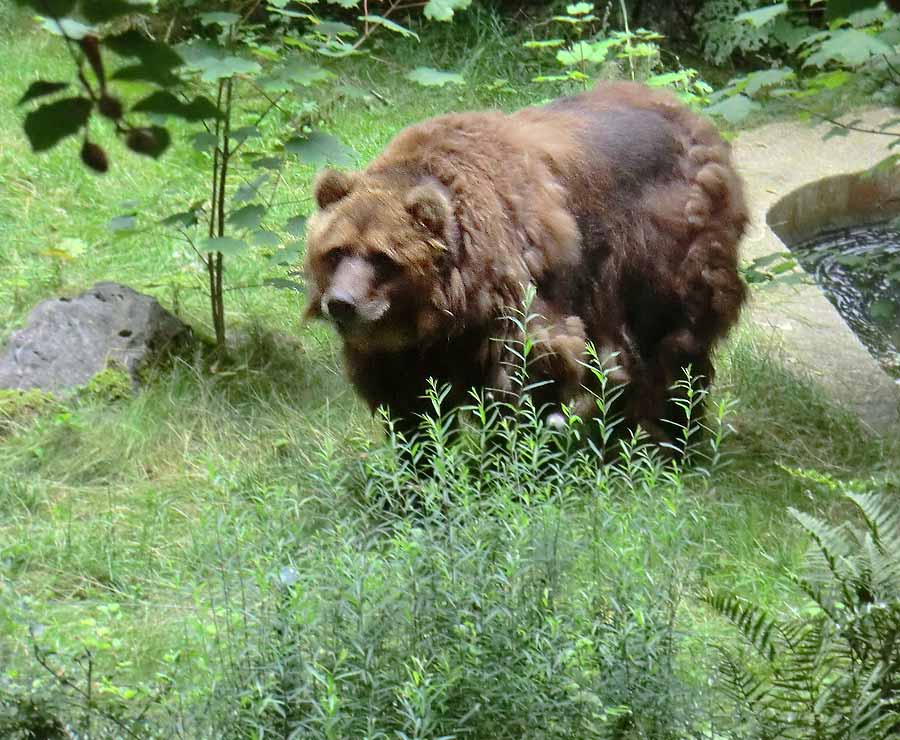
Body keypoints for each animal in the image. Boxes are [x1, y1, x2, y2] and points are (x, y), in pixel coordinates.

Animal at [302, 84, 744, 448]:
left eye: (382, 257)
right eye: (336, 251)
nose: (341, 302)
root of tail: (692, 117)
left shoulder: (514, 298)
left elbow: (527, 372)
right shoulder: (405, 349)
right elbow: (409, 401)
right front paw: (421, 468)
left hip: (661, 249)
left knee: (670, 342)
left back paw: (667, 433)